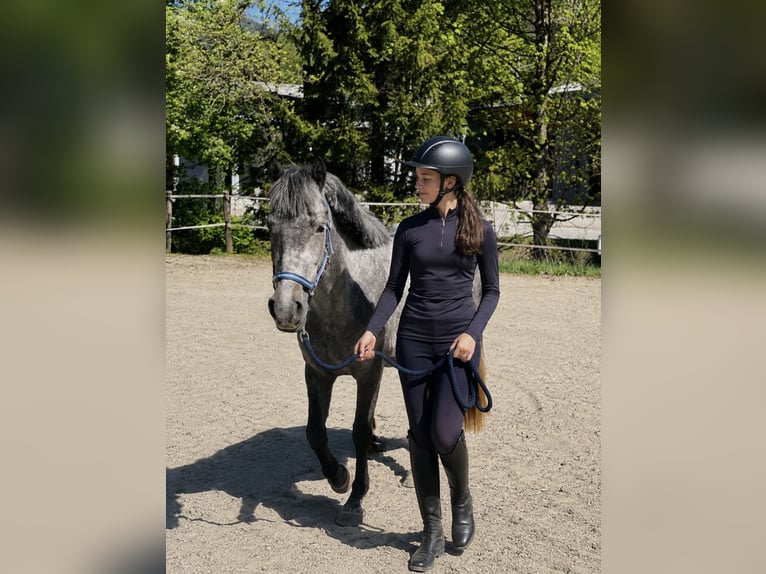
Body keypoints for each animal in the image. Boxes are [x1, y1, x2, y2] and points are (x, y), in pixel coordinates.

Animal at [266, 157, 401, 527]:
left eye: (318, 228)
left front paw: (356, 496)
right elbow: (315, 431)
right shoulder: (317, 373)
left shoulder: (368, 373)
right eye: (270, 227)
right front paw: (339, 477)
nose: (287, 309)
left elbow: (356, 429)